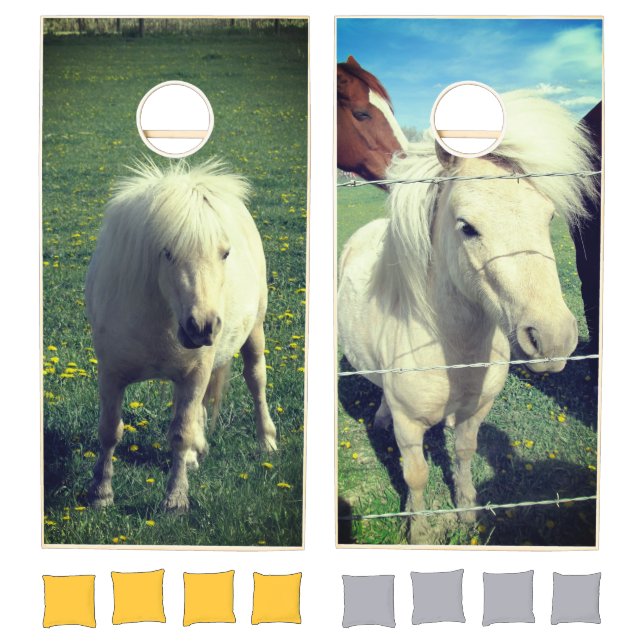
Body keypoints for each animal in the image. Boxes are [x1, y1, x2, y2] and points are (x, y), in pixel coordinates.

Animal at [85, 158, 277, 512]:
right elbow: (109, 431)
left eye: (225, 253)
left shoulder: (195, 372)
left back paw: (267, 442)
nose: (202, 326)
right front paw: (101, 494)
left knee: (256, 380)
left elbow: (180, 434)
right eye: (167, 253)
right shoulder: (111, 375)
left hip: (254, 333)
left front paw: (175, 499)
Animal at [337, 92, 596, 544]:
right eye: (467, 227)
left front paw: (466, 511)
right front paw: (419, 530)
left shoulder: (475, 414)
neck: (455, 352)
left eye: (548, 217)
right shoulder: (410, 427)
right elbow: (417, 475)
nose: (553, 339)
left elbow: (463, 455)